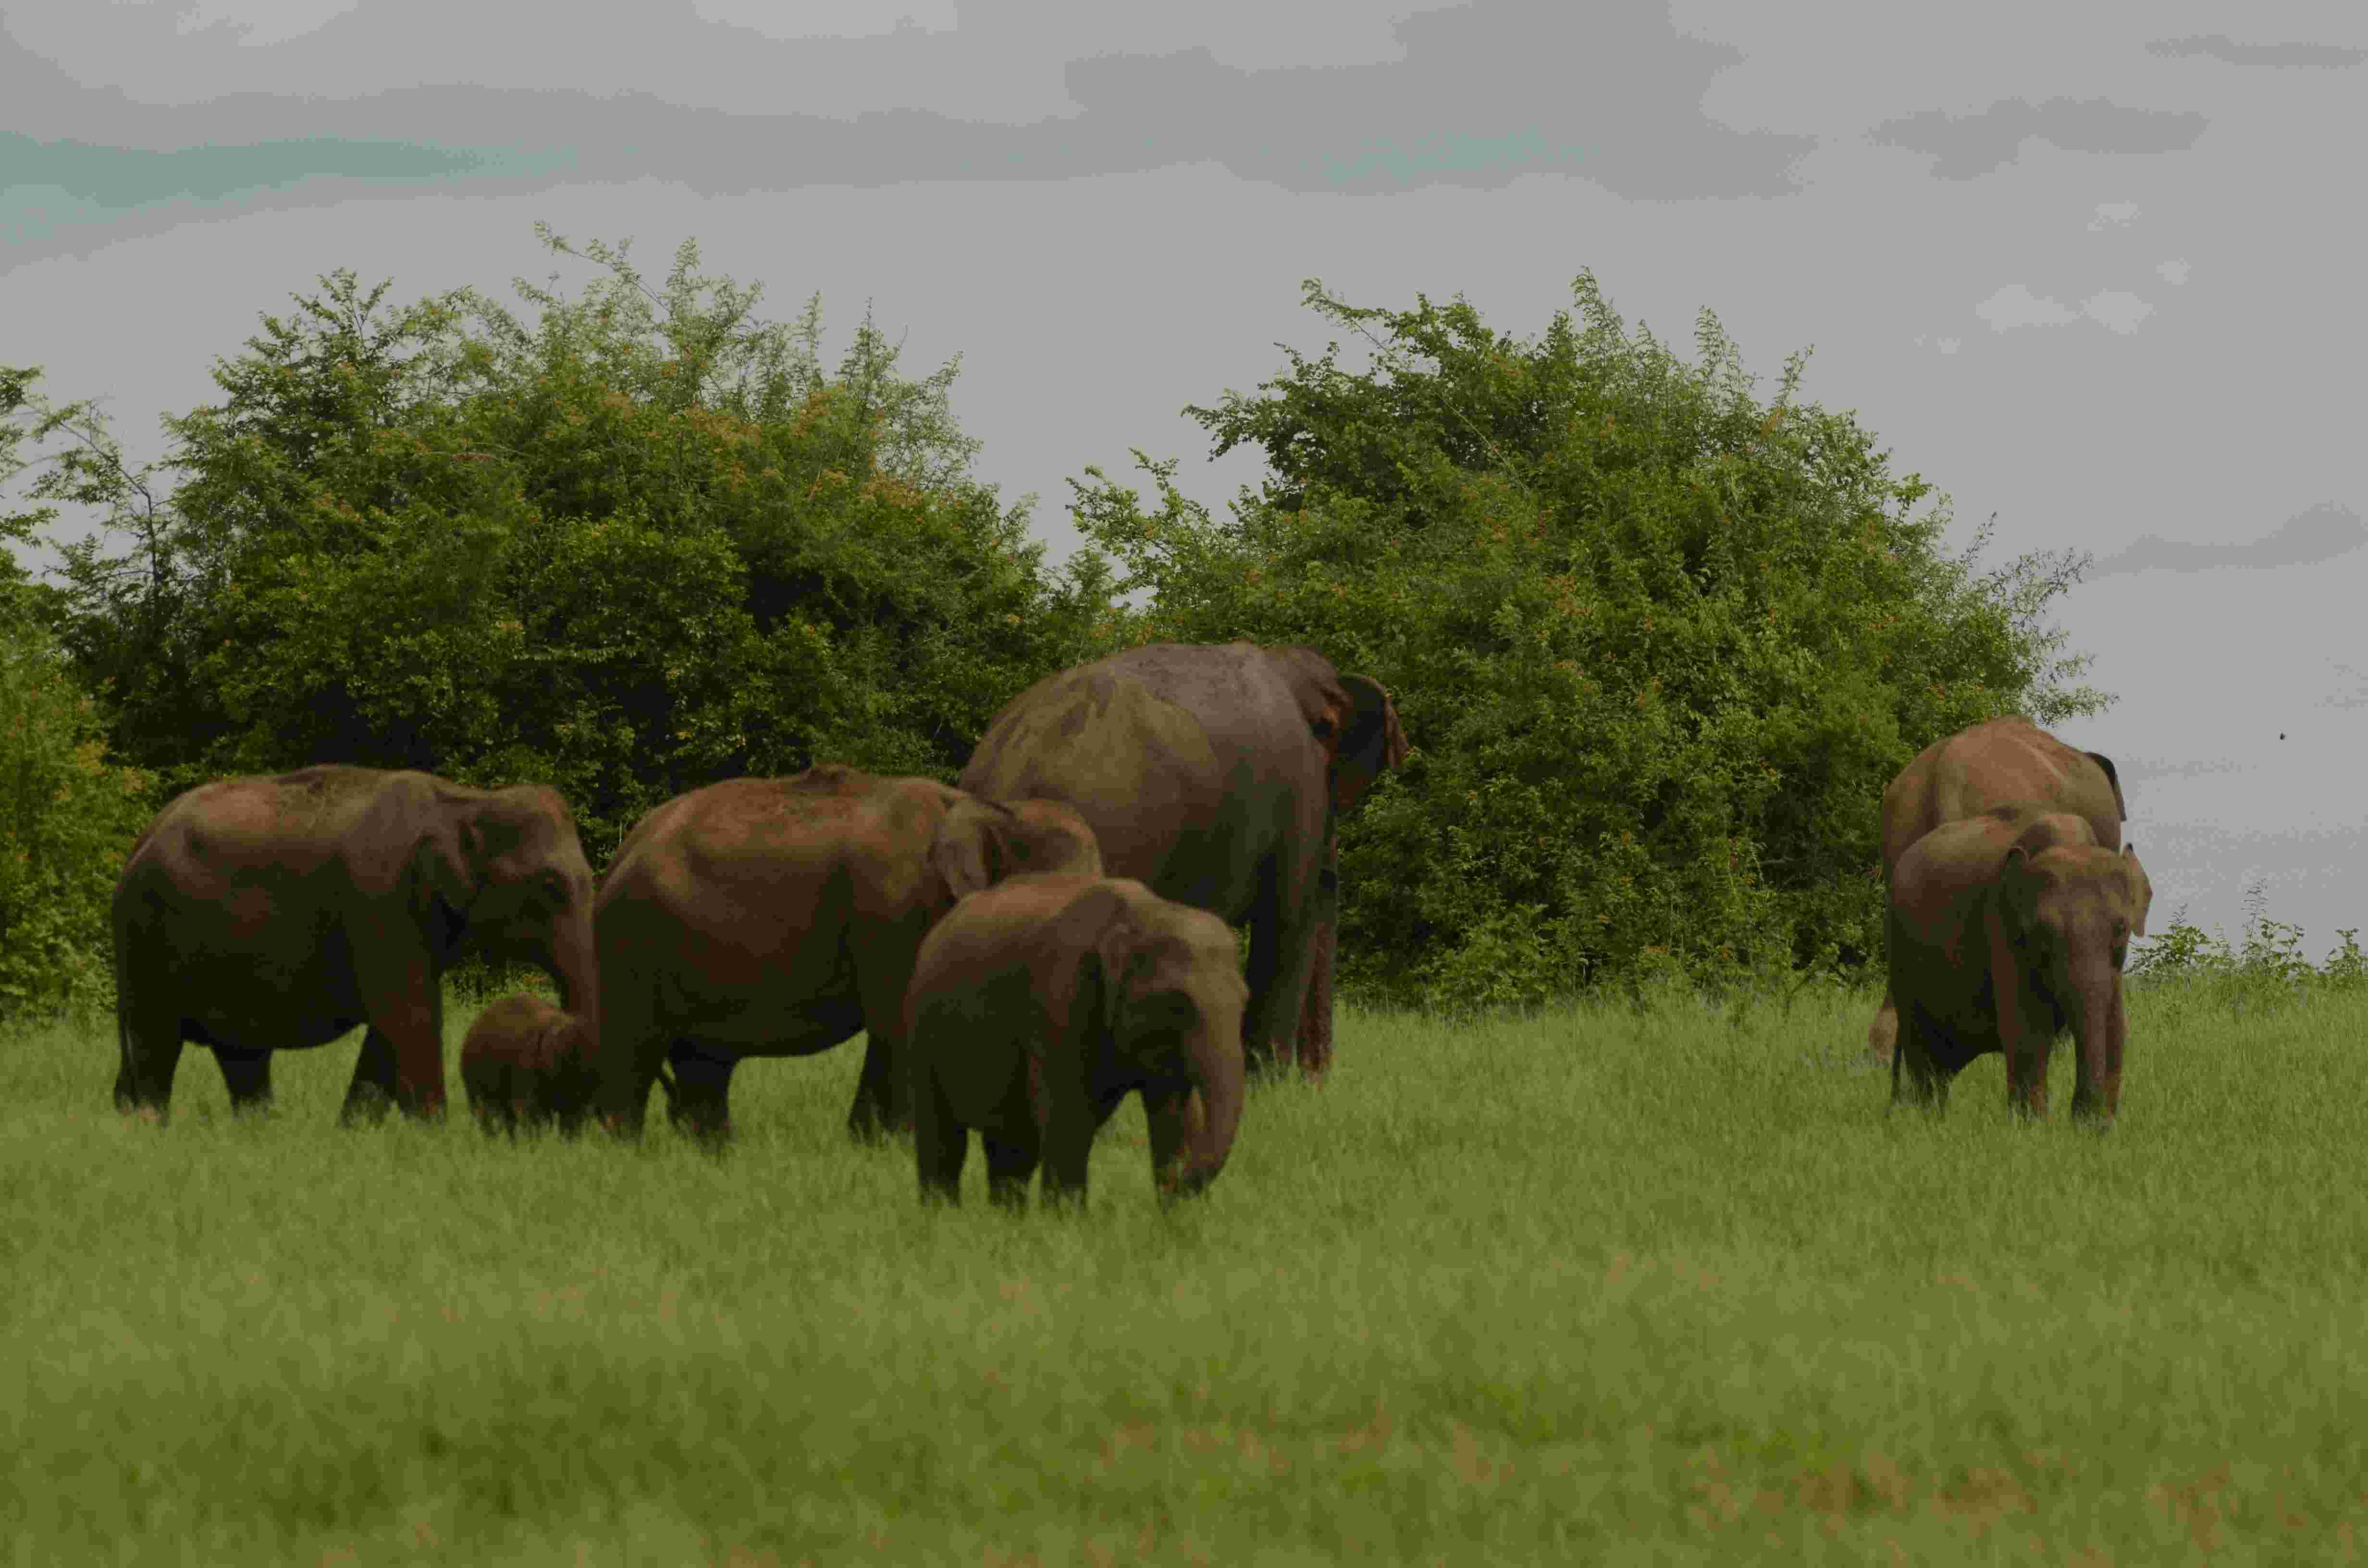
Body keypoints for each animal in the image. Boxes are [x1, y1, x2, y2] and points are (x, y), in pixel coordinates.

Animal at [111, 766, 599, 1125]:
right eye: (551, 888)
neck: (467, 799)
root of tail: (142, 837)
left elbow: (390, 1021)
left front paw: (355, 1131)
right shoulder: (381, 898)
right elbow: (407, 1010)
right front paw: (436, 1134)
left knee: (239, 1053)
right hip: (148, 936)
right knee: (156, 1041)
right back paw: (151, 1126)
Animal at [591, 764, 1103, 1142]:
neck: (993, 809)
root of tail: (624, 848)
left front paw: (867, 1144)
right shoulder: (895, 908)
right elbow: (898, 1025)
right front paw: (896, 1145)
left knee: (702, 1063)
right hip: (630, 944)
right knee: (633, 1050)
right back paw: (624, 1147)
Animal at [904, 873, 1250, 1209]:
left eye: (1245, 1001)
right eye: (1179, 1004)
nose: (1177, 1184)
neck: (1145, 913)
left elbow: (1176, 1116)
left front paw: (1180, 1215)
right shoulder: (1061, 1002)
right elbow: (1069, 1117)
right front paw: (1067, 1219)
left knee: (1012, 1146)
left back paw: (1005, 1217)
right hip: (921, 1030)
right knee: (943, 1138)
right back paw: (941, 1214)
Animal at [1887, 806, 2152, 1127]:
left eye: (2121, 927)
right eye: (2042, 933)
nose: (2083, 1118)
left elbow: (2115, 1026)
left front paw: (2098, 1127)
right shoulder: (2002, 928)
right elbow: (2028, 1028)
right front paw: (2033, 1128)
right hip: (1901, 957)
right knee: (1923, 1053)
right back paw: (1928, 1123)